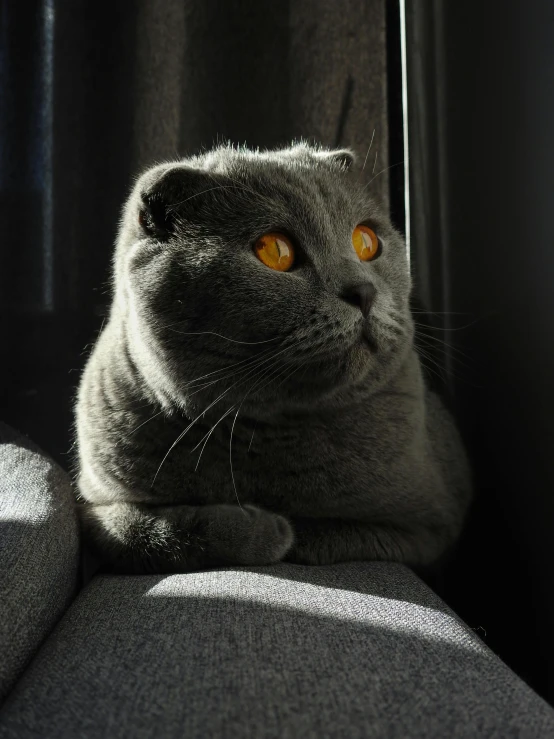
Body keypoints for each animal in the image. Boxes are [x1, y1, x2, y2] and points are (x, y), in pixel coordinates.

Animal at [73, 142, 470, 576]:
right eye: (275, 251)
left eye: (367, 242)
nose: (363, 291)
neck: (260, 433)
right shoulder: (95, 505)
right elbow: (131, 531)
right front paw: (259, 528)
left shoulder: (433, 525)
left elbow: (334, 533)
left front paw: (281, 528)